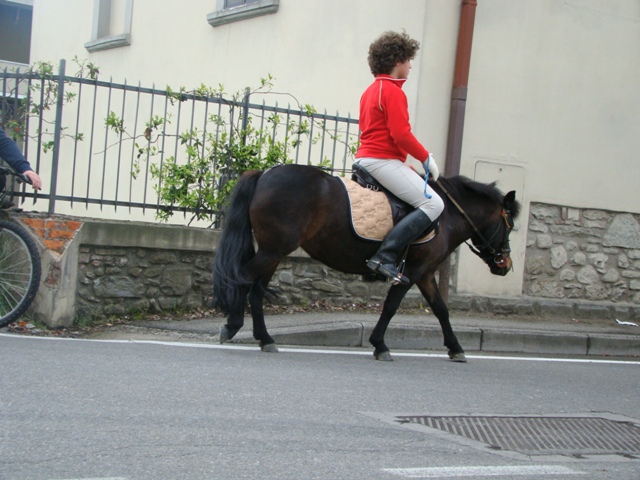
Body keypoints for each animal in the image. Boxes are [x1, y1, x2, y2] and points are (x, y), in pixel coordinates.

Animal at [212, 164, 520, 362]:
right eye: (510, 225)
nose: (504, 265)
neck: (446, 215)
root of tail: (265, 174)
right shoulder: (412, 272)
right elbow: (392, 307)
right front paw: (380, 345)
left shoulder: (425, 274)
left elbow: (441, 310)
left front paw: (455, 347)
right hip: (273, 250)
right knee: (242, 278)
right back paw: (233, 326)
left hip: (273, 253)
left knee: (255, 289)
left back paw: (265, 338)